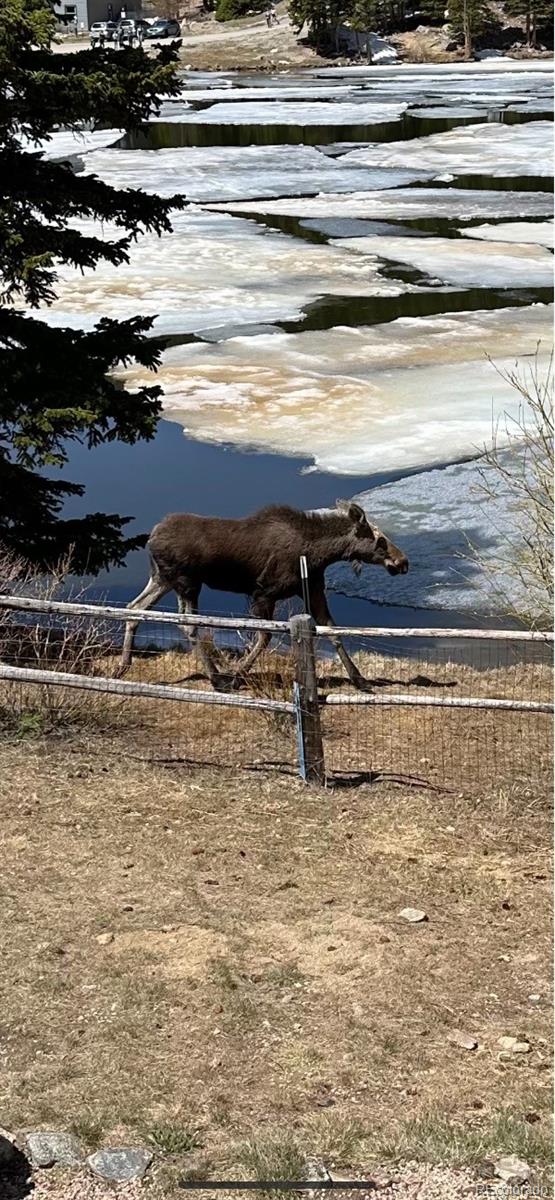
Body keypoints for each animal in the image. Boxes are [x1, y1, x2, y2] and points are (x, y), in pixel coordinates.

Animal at [117, 501, 410, 691]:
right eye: (380, 539)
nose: (403, 561)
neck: (319, 554)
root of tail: (151, 537)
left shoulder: (313, 589)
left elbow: (333, 631)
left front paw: (360, 680)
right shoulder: (264, 594)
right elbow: (264, 638)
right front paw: (237, 676)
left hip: (163, 579)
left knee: (136, 607)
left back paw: (123, 666)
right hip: (187, 583)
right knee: (187, 624)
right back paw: (217, 678)